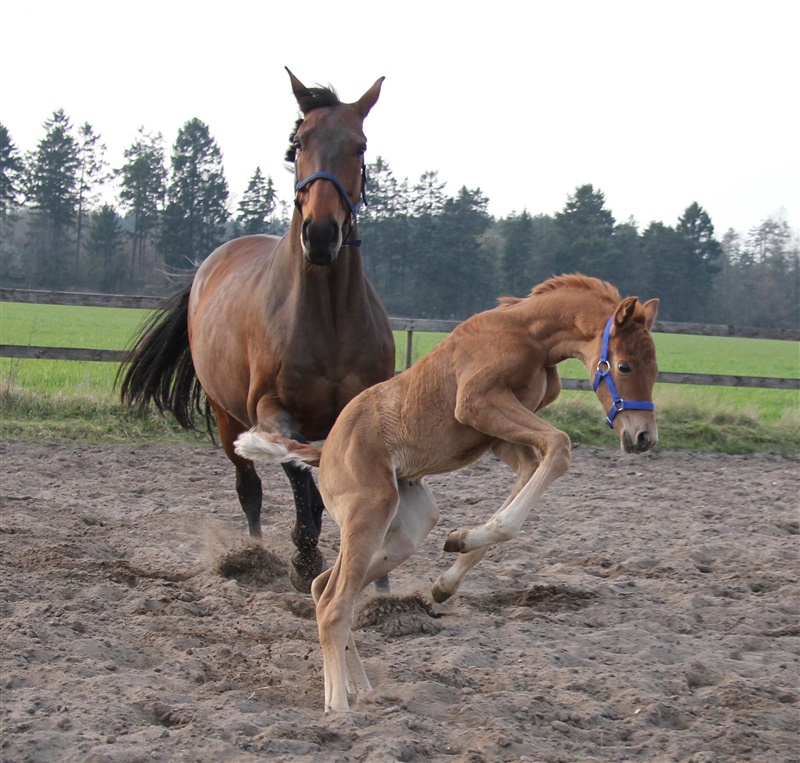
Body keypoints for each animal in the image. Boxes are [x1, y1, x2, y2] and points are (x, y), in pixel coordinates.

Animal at [119, 69, 395, 592]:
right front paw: (303, 559)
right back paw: (254, 553)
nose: (321, 234)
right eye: (299, 142)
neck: (328, 317)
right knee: (250, 488)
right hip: (227, 415)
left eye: (360, 146)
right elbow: (296, 477)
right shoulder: (269, 408)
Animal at [234, 274, 660, 713]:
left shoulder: (498, 438)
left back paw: (363, 689)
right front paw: (462, 547)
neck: (529, 334)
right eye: (624, 365)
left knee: (325, 590)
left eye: (656, 367)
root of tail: (327, 451)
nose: (644, 437)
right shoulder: (477, 404)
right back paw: (338, 707)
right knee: (335, 603)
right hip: (369, 512)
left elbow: (529, 475)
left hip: (404, 531)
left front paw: (451, 565)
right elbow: (559, 447)